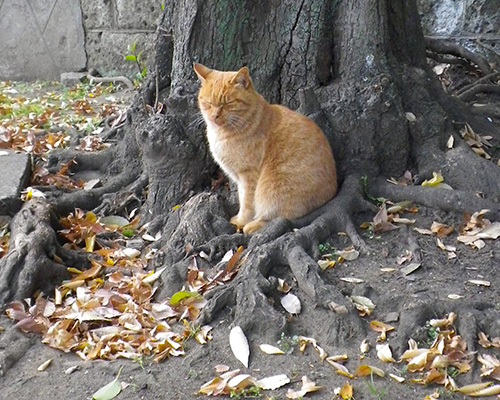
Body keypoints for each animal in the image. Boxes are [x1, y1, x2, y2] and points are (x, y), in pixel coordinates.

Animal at [193, 63, 338, 234]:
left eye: (227, 104)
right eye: (208, 103)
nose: (214, 116)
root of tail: (332, 191)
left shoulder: (248, 175)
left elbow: (247, 203)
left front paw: (242, 221)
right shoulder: (240, 178)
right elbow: (242, 197)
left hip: (272, 189)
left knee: (281, 217)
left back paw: (251, 226)